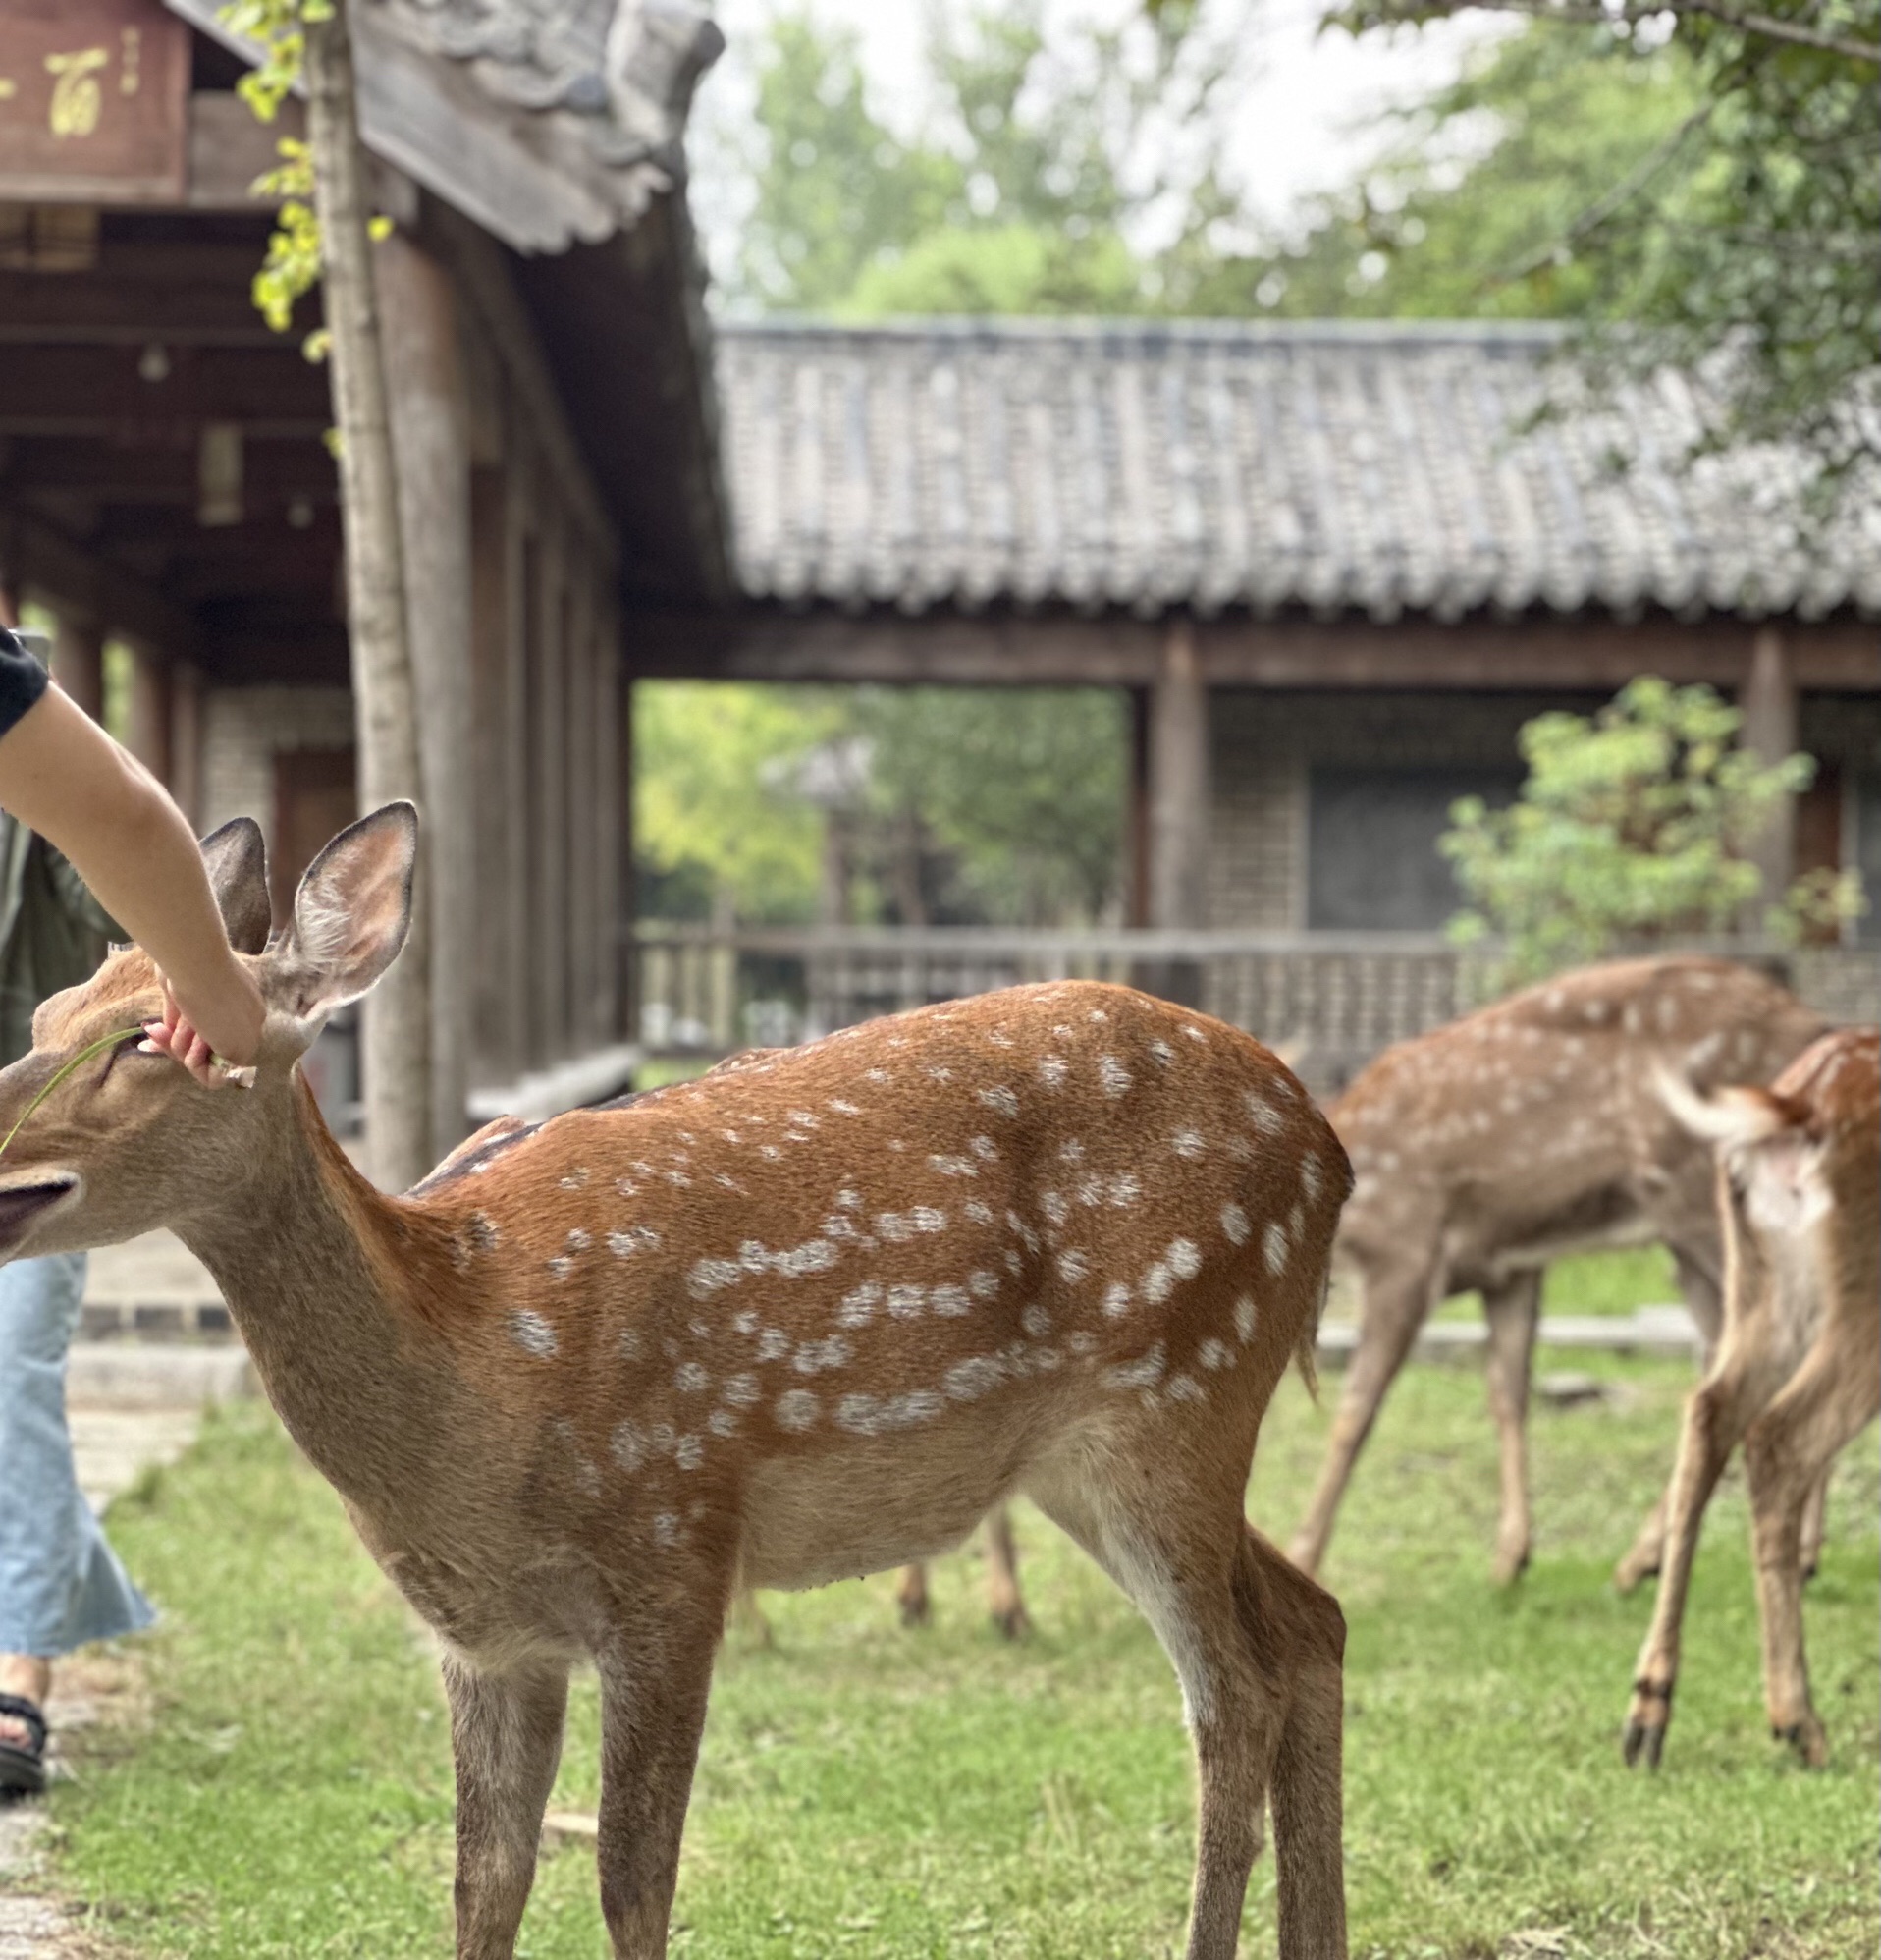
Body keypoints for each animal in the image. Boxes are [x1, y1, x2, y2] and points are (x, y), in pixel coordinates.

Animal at [0, 805, 1354, 1960]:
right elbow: (483, 1880)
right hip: (1102, 1452)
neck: (474, 1380)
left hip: (1177, 1391)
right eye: (49, 1009)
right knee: (1309, 1621)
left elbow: (630, 1875)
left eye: (146, 1039)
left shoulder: (672, 1548)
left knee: (1231, 1692)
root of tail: (1328, 1147)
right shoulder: (486, 1636)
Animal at [1285, 956, 1826, 1588]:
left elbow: (1355, 1411)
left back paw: (1775, 1552)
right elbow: (1507, 1394)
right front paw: (1510, 1556)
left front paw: (1304, 1554)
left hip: (1701, 1195)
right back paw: (1668, 1557)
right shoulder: (1508, 1266)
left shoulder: (1409, 1251)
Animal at [1622, 1026, 1878, 1769]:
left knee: (1710, 1409)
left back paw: (1648, 1714)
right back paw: (1799, 1722)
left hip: (1765, 1285)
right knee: (1780, 1436)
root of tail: (1797, 1107)